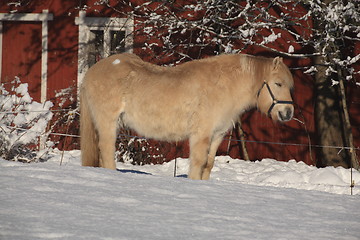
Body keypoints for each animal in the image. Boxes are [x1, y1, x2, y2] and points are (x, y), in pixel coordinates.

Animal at [81, 53, 296, 179]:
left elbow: (208, 165)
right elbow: (198, 163)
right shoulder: (201, 134)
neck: (223, 85)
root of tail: (91, 72)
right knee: (107, 151)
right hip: (108, 123)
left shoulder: (217, 135)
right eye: (278, 83)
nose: (287, 113)